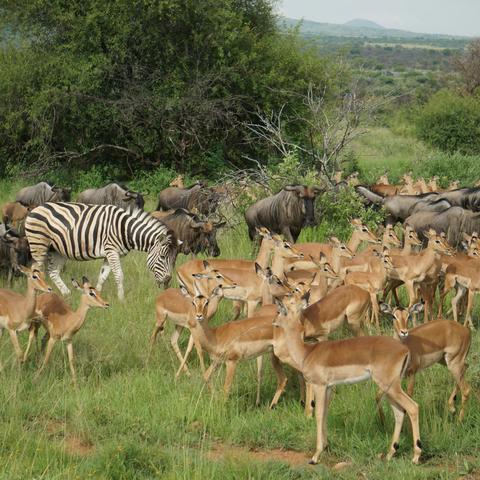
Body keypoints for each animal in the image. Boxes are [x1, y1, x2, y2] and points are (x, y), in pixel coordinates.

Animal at [24, 202, 178, 300]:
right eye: (162, 257)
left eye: (174, 260)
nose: (167, 282)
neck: (126, 229)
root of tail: (36, 208)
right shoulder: (112, 251)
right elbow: (119, 275)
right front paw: (122, 300)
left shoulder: (109, 254)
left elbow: (102, 276)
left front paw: (96, 296)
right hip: (39, 244)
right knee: (36, 270)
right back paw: (40, 295)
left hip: (57, 249)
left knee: (53, 271)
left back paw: (67, 294)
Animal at [272, 294, 422, 466]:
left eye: (280, 310)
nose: (274, 322)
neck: (307, 353)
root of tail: (404, 349)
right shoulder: (329, 388)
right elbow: (325, 413)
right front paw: (325, 446)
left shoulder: (319, 386)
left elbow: (318, 414)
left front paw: (315, 456)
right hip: (389, 388)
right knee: (399, 412)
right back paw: (390, 454)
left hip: (390, 386)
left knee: (412, 407)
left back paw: (416, 456)